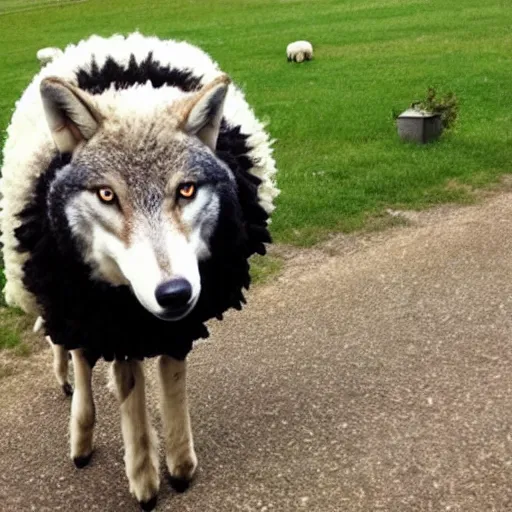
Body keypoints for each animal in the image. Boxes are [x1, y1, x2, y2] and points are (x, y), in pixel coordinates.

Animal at [0, 33, 278, 512]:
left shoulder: (173, 324)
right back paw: (80, 428)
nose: (175, 293)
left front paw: (181, 465)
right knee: (76, 356)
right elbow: (131, 398)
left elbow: (171, 385)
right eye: (107, 195)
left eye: (186, 190)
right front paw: (145, 481)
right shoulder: (108, 317)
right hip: (67, 301)